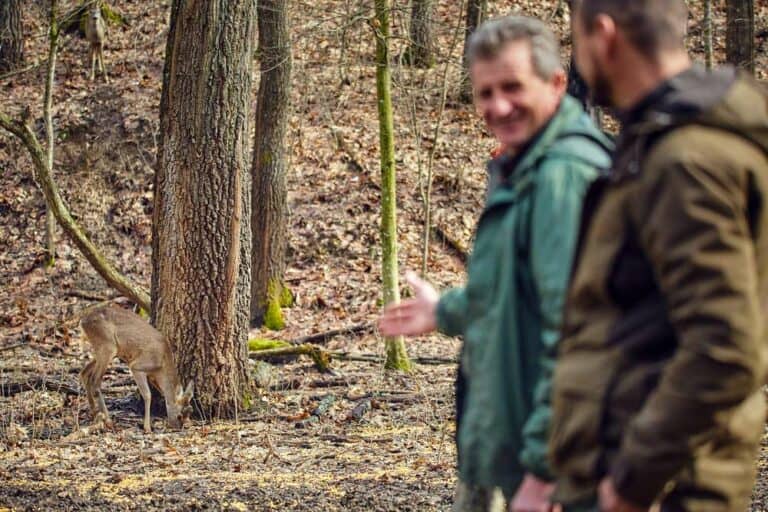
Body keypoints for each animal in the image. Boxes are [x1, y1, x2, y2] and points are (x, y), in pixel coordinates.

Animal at [79, 306, 194, 434]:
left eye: (190, 413)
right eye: (179, 416)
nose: (178, 427)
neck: (161, 365)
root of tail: (83, 321)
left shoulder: (152, 376)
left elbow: (161, 392)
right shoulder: (137, 366)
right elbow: (148, 395)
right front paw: (147, 427)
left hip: (106, 350)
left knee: (84, 373)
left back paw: (94, 413)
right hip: (107, 346)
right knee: (95, 380)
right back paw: (108, 420)